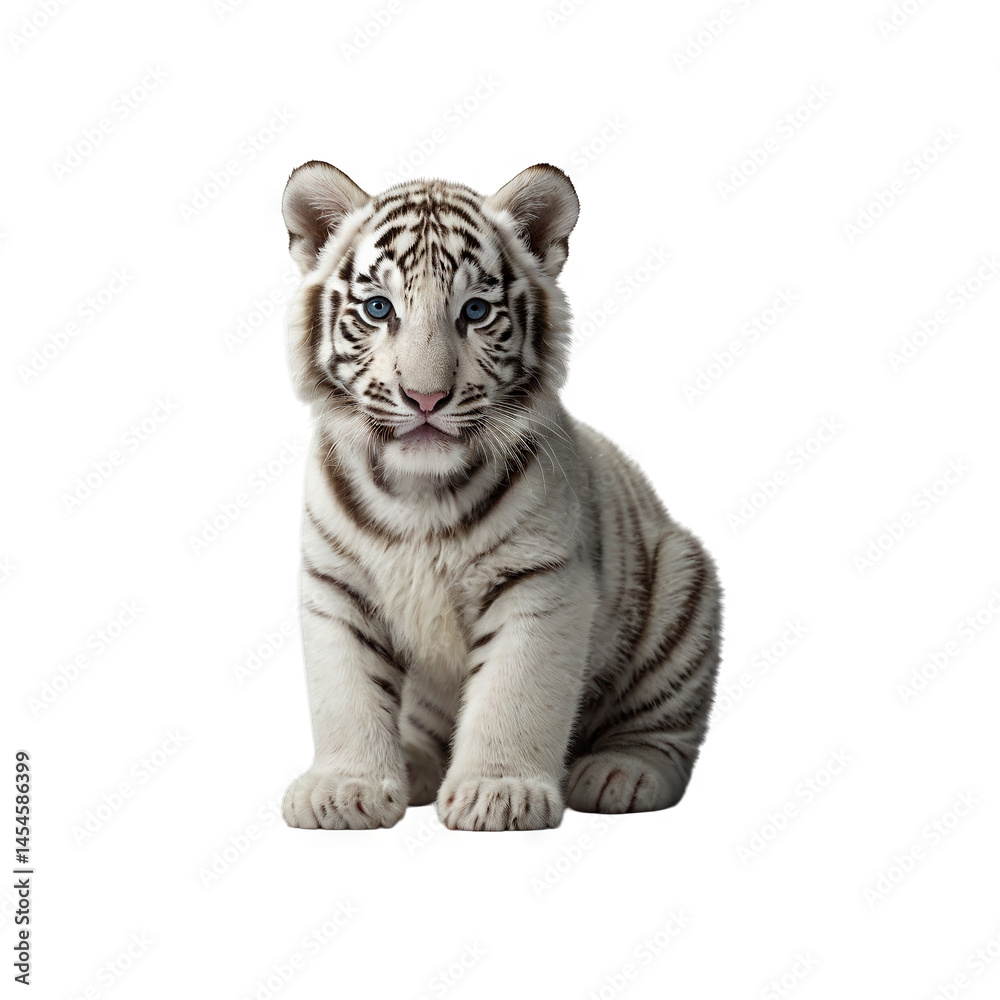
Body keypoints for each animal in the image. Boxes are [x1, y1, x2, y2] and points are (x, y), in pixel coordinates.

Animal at [278, 160, 723, 832]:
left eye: (476, 310)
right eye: (380, 308)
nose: (426, 398)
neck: (419, 490)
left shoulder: (539, 583)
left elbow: (514, 695)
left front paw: (498, 793)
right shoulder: (335, 586)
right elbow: (347, 695)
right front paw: (344, 789)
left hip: (681, 583)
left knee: (663, 726)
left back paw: (621, 774)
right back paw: (414, 766)